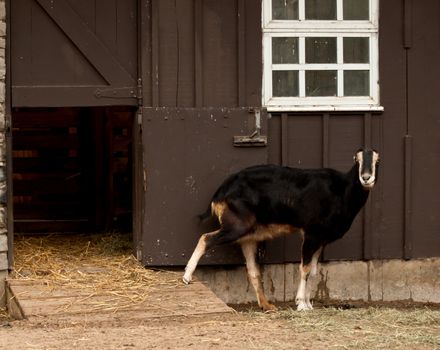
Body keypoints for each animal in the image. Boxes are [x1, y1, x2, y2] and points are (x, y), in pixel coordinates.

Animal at [184, 149, 380, 310]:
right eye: (357, 160)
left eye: (377, 161)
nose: (366, 178)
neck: (341, 190)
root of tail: (220, 193)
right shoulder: (311, 234)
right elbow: (305, 268)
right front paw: (301, 304)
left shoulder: (321, 239)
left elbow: (314, 271)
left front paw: (308, 304)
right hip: (236, 227)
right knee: (205, 238)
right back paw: (186, 276)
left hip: (249, 237)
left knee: (252, 269)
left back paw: (267, 305)